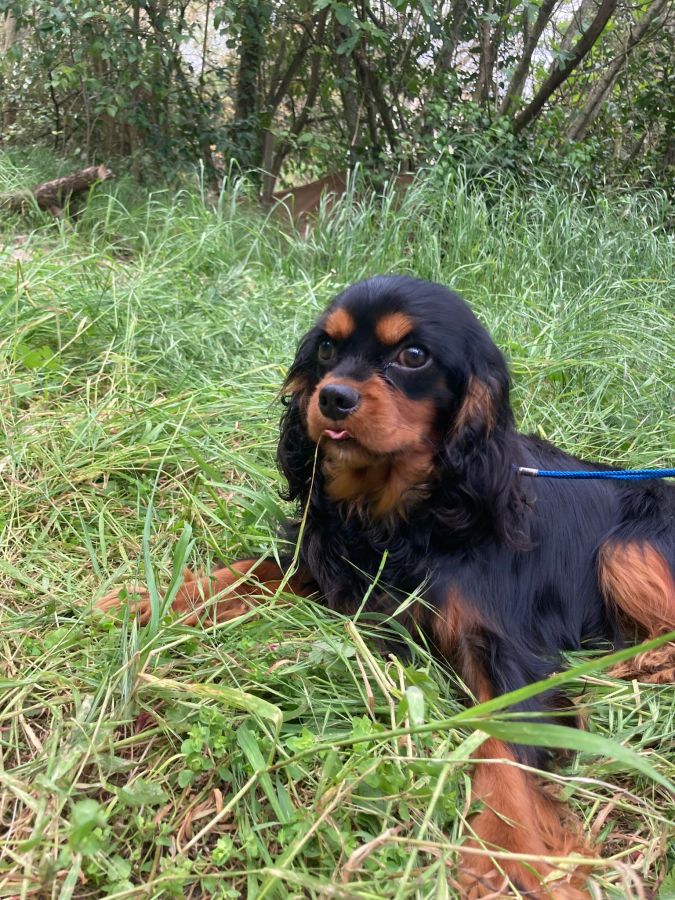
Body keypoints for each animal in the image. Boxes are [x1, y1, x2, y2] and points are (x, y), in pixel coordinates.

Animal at [100, 276, 674, 897]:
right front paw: (145, 602)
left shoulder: (506, 644)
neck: (402, 512)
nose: (332, 398)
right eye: (327, 348)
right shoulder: (332, 562)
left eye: (414, 356)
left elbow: (499, 739)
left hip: (627, 547)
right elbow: (250, 571)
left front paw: (504, 852)